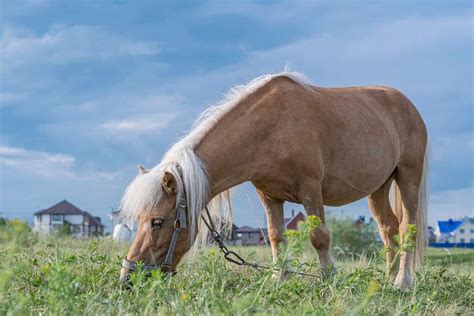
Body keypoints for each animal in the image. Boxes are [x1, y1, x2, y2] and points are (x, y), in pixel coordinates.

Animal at [118, 71, 430, 288]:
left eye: (157, 221)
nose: (128, 278)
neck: (271, 127)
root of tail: (409, 107)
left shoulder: (310, 190)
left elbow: (320, 237)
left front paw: (328, 278)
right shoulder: (269, 195)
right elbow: (276, 236)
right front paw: (280, 279)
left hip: (408, 177)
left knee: (407, 228)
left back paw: (402, 283)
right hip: (378, 188)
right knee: (388, 230)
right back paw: (388, 279)